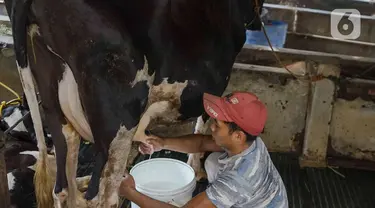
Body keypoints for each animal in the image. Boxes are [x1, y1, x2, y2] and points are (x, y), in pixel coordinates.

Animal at [4, 0, 266, 207]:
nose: (256, 22)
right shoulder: (213, 86)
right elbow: (204, 121)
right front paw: (197, 167)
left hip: (53, 99)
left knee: (62, 186)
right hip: (120, 117)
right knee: (102, 196)